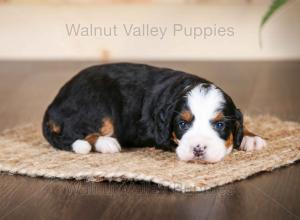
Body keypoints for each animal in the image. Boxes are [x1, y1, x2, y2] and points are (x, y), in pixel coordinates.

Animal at [42, 62, 268, 162]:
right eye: (182, 124)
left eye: (220, 124)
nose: (197, 149)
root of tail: (53, 104)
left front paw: (251, 137)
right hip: (97, 106)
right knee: (74, 132)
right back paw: (106, 143)